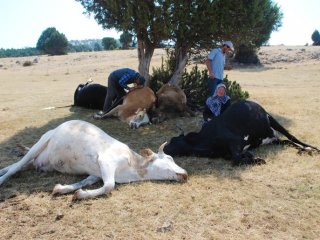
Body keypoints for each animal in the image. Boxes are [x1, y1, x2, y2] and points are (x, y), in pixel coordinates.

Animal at [0, 120, 188, 201]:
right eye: (168, 159)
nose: (185, 174)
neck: (132, 168)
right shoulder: (105, 161)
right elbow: (109, 186)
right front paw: (80, 195)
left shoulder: (95, 173)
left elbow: (83, 182)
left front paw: (62, 189)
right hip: (41, 141)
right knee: (16, 166)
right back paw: (2, 179)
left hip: (41, 161)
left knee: (17, 166)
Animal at [164, 99, 318, 165]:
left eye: (173, 140)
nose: (164, 148)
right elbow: (235, 158)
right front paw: (250, 156)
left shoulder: (235, 142)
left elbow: (236, 159)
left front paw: (256, 159)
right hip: (272, 138)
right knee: (286, 141)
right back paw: (303, 150)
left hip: (273, 121)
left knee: (292, 137)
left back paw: (312, 148)